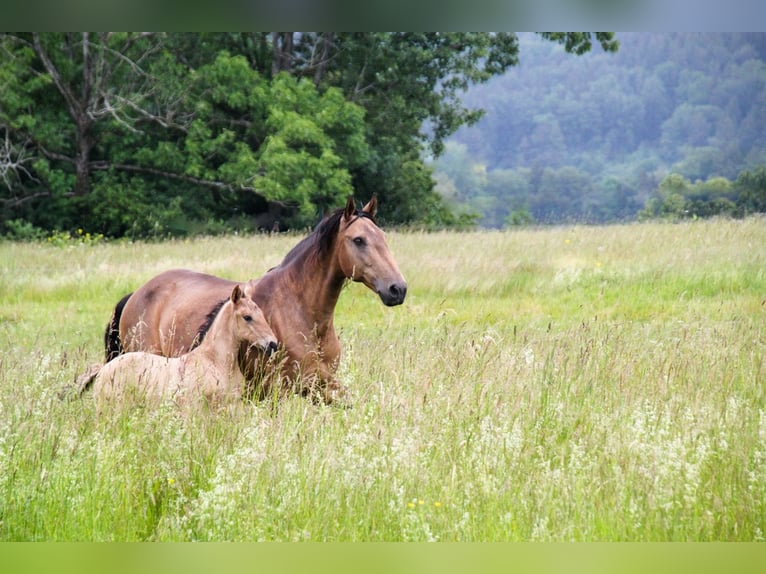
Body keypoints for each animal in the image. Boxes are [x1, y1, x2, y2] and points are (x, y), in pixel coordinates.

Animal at [105, 197, 412, 404]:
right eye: (359, 240)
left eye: (383, 236)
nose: (397, 289)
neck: (301, 311)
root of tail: (135, 295)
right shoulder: (280, 390)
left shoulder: (320, 386)